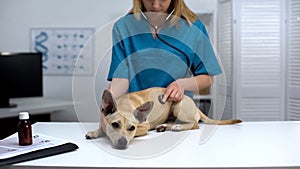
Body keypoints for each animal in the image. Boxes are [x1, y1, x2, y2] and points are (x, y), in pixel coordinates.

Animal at [85, 87, 241, 149]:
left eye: (132, 128)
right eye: (115, 125)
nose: (123, 143)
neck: (124, 105)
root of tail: (195, 106)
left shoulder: (144, 126)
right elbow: (102, 128)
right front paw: (94, 132)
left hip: (178, 106)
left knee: (195, 124)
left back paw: (178, 127)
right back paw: (164, 126)